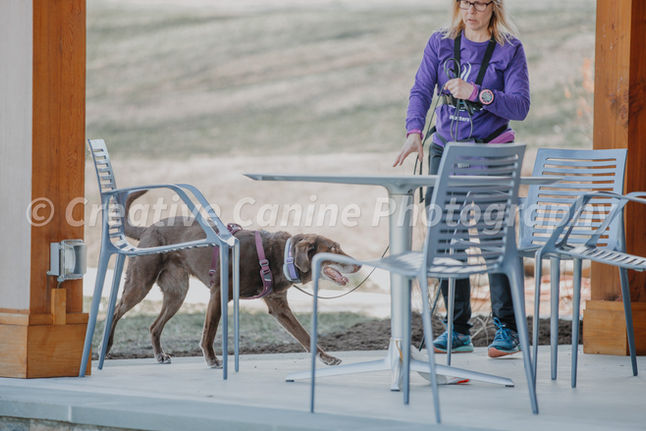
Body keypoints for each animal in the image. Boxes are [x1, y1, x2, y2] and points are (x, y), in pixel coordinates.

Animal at [102, 191, 361, 368]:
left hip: (177, 293)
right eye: (334, 249)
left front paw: (326, 357)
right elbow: (211, 329)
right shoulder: (218, 293)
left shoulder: (279, 307)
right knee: (115, 311)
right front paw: (212, 358)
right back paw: (105, 347)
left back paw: (158, 355)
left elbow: (305, 336)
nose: (359, 264)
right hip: (140, 283)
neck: (279, 257)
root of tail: (147, 228)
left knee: (154, 325)